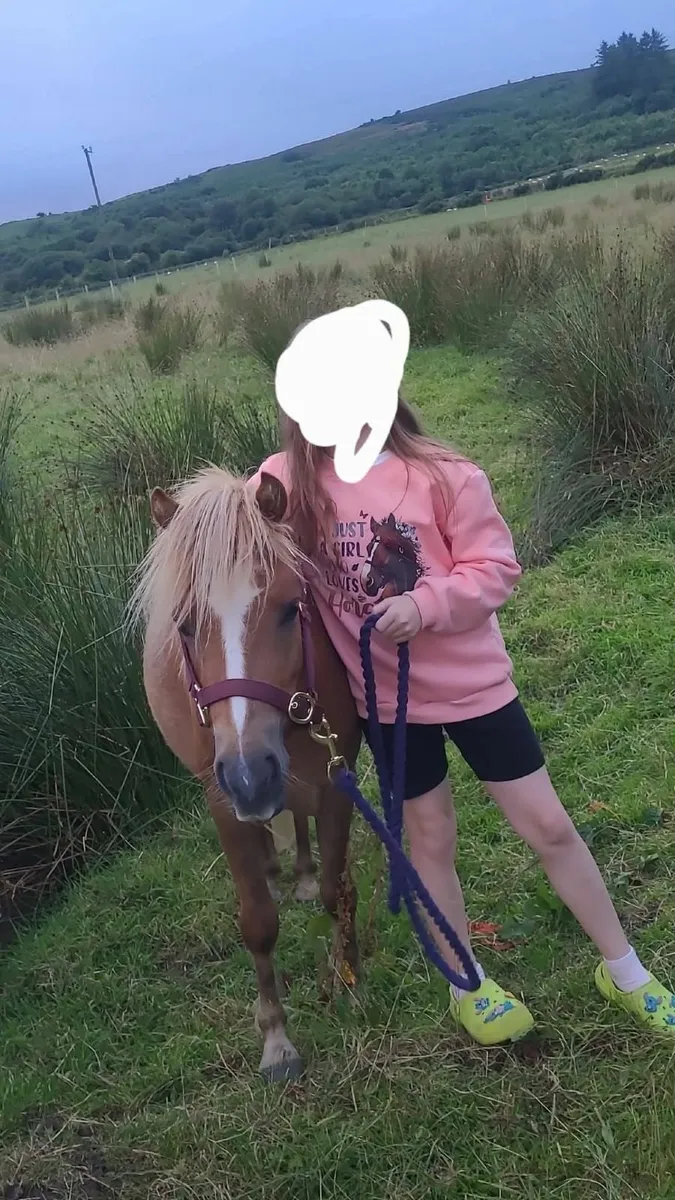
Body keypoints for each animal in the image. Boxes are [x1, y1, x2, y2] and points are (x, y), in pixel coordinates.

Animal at [129, 467, 362, 1083]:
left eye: (289, 607)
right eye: (184, 626)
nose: (249, 775)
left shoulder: (337, 776)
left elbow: (334, 890)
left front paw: (347, 977)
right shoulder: (222, 804)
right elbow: (257, 922)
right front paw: (277, 1040)